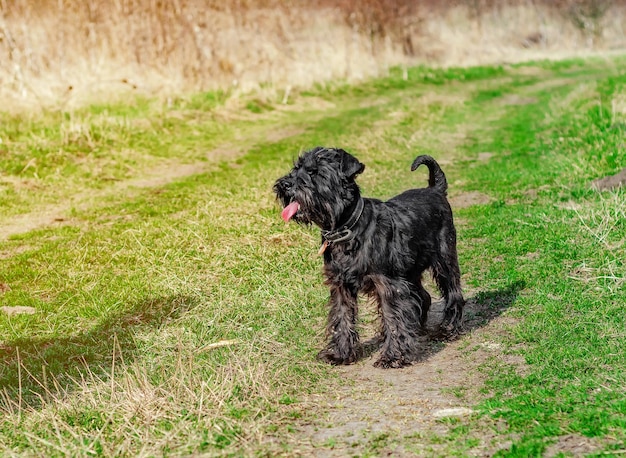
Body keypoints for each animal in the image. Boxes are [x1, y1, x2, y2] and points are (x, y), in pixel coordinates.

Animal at [272, 148, 464, 368]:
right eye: (296, 168)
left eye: (315, 172)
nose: (285, 184)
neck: (347, 229)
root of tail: (436, 190)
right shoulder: (341, 285)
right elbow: (342, 318)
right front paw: (340, 354)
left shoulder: (388, 284)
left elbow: (393, 317)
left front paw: (394, 356)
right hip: (410, 271)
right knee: (423, 296)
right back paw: (416, 329)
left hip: (444, 260)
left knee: (453, 293)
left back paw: (448, 330)